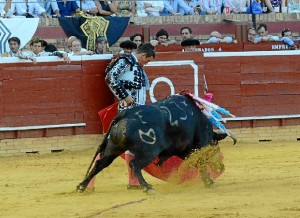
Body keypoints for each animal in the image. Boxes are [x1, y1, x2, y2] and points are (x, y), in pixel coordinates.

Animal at [77, 95, 237, 192]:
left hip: (114, 147)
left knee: (100, 163)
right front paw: (209, 182)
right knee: (135, 164)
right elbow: (201, 163)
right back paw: (148, 187)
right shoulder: (201, 144)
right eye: (216, 147)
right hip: (149, 152)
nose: (221, 167)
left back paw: (81, 186)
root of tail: (125, 114)